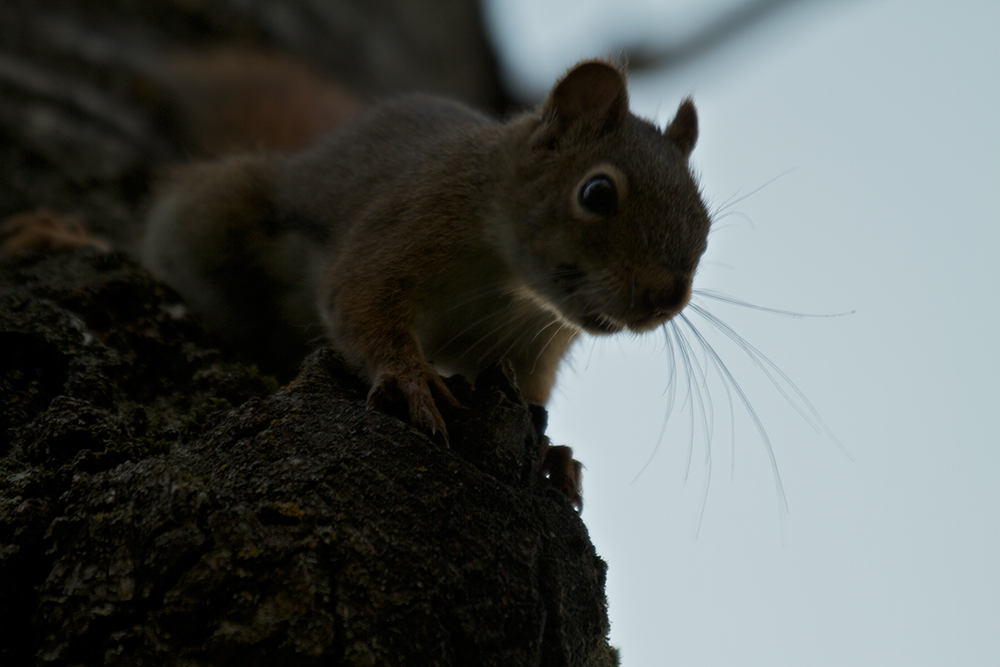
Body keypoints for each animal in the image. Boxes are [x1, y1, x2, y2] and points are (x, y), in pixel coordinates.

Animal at [145, 60, 716, 504]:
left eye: (705, 225)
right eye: (597, 193)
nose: (666, 299)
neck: (512, 287)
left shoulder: (533, 346)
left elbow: (533, 394)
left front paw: (552, 452)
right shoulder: (402, 229)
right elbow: (361, 303)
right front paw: (409, 378)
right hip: (223, 215)